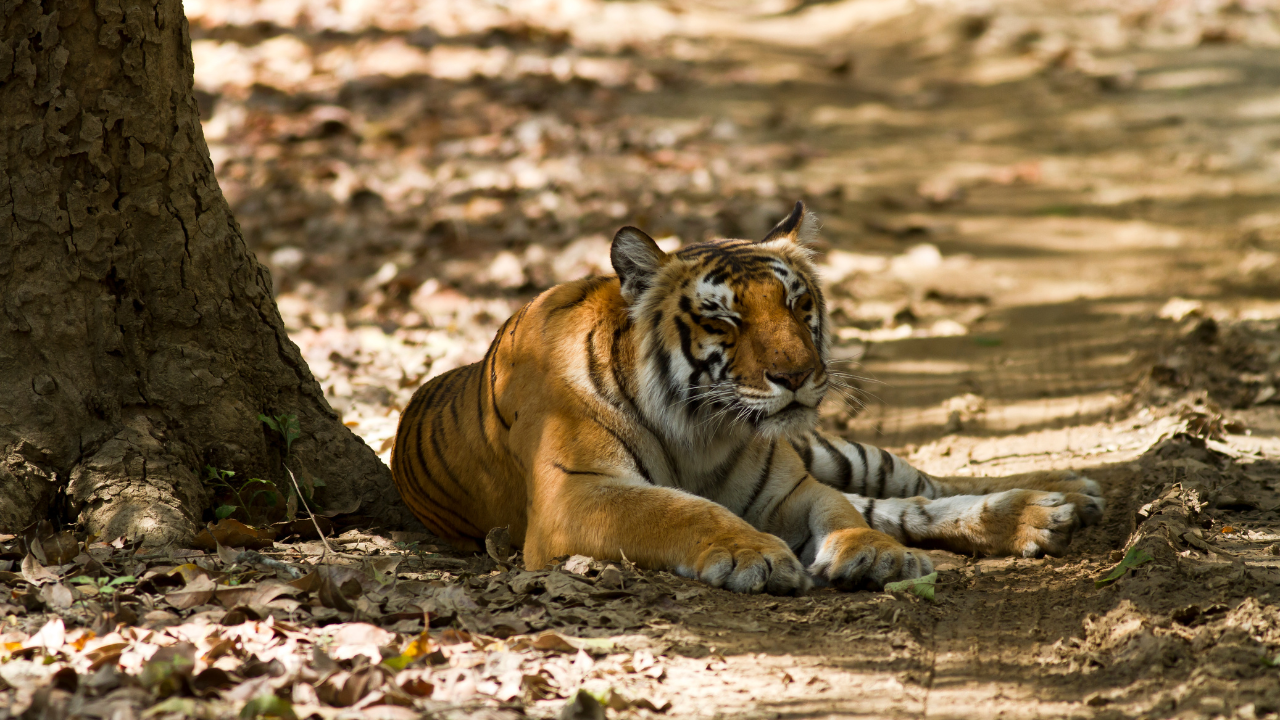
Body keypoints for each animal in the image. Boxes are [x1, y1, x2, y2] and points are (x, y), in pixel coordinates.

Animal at [389, 198, 1100, 591]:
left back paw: (1059, 497)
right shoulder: (576, 494)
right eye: (725, 321)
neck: (698, 429)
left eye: (798, 304)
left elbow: (843, 512)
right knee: (897, 502)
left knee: (914, 486)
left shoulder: (789, 487)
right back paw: (1052, 510)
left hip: (830, 452)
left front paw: (875, 556)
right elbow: (679, 510)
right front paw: (750, 553)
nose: (798, 375)